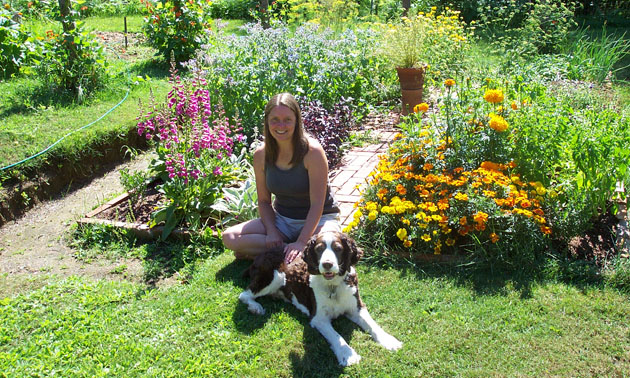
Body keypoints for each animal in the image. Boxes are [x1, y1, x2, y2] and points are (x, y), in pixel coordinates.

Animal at [239, 230, 402, 366]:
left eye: (338, 248)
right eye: (319, 249)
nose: (327, 264)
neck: (333, 286)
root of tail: (260, 255)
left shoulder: (356, 307)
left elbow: (372, 324)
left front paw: (389, 340)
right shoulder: (318, 318)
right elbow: (336, 335)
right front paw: (347, 354)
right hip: (273, 277)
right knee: (244, 294)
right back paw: (255, 307)